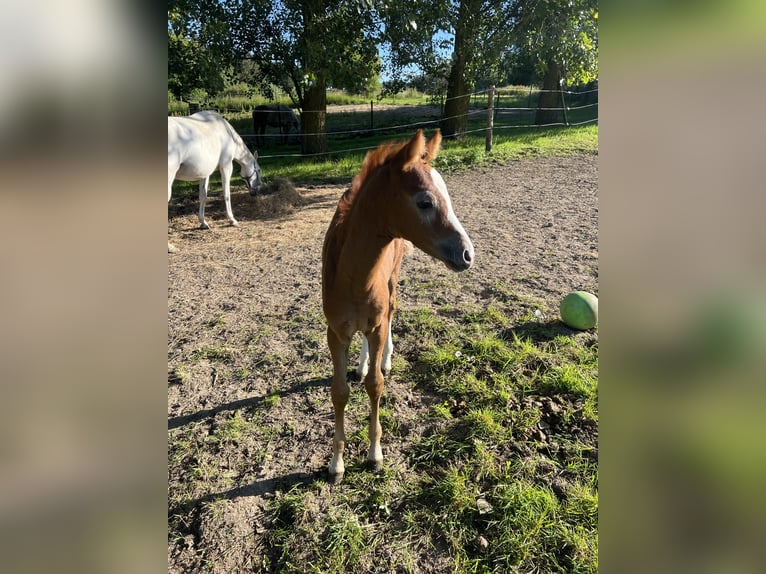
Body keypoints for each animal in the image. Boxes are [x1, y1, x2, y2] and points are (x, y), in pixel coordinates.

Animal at [320, 129, 474, 482]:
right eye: (425, 202)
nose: (467, 254)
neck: (354, 276)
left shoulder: (375, 324)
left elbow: (376, 385)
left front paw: (374, 455)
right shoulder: (335, 332)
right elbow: (340, 391)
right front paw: (336, 464)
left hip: (393, 276)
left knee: (391, 310)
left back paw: (384, 359)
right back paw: (363, 363)